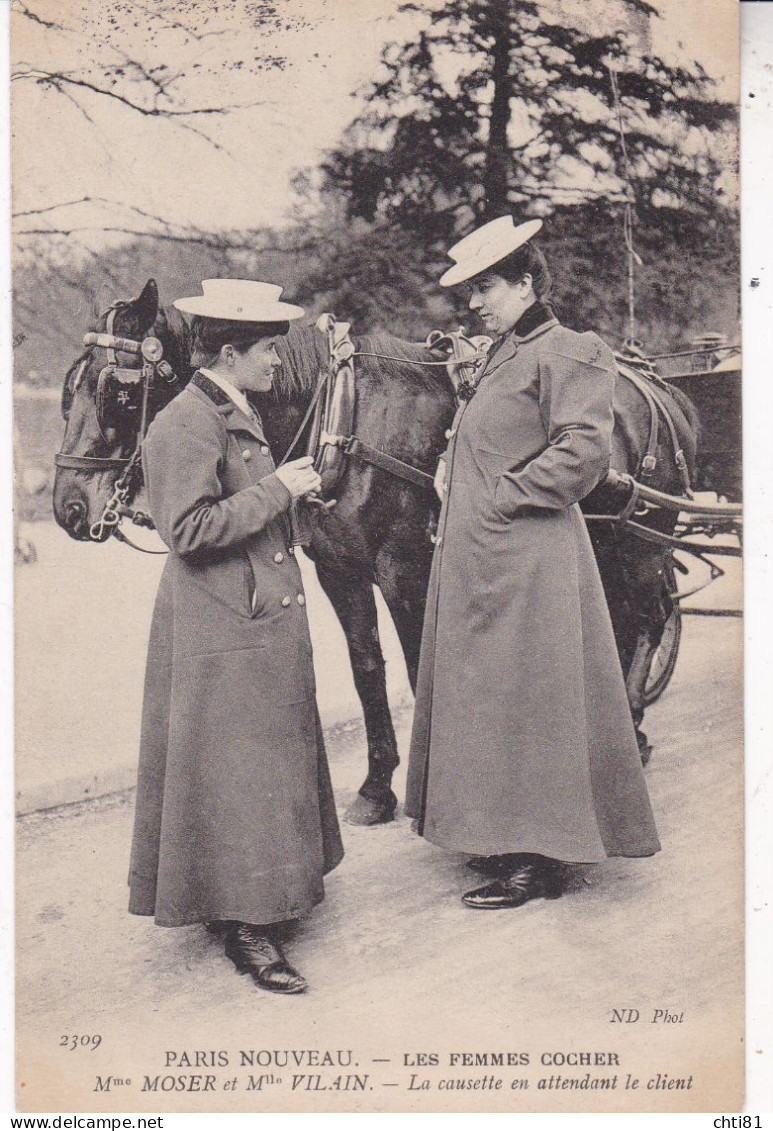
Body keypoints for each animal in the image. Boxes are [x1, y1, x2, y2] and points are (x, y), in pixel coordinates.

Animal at [54, 275, 701, 823]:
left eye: (117, 389)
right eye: (67, 391)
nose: (69, 508)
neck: (342, 420)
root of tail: (659, 389)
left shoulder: (403, 571)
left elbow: (417, 665)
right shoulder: (339, 571)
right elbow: (368, 668)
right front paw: (376, 786)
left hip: (641, 539)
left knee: (649, 614)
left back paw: (634, 723)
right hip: (607, 541)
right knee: (621, 616)